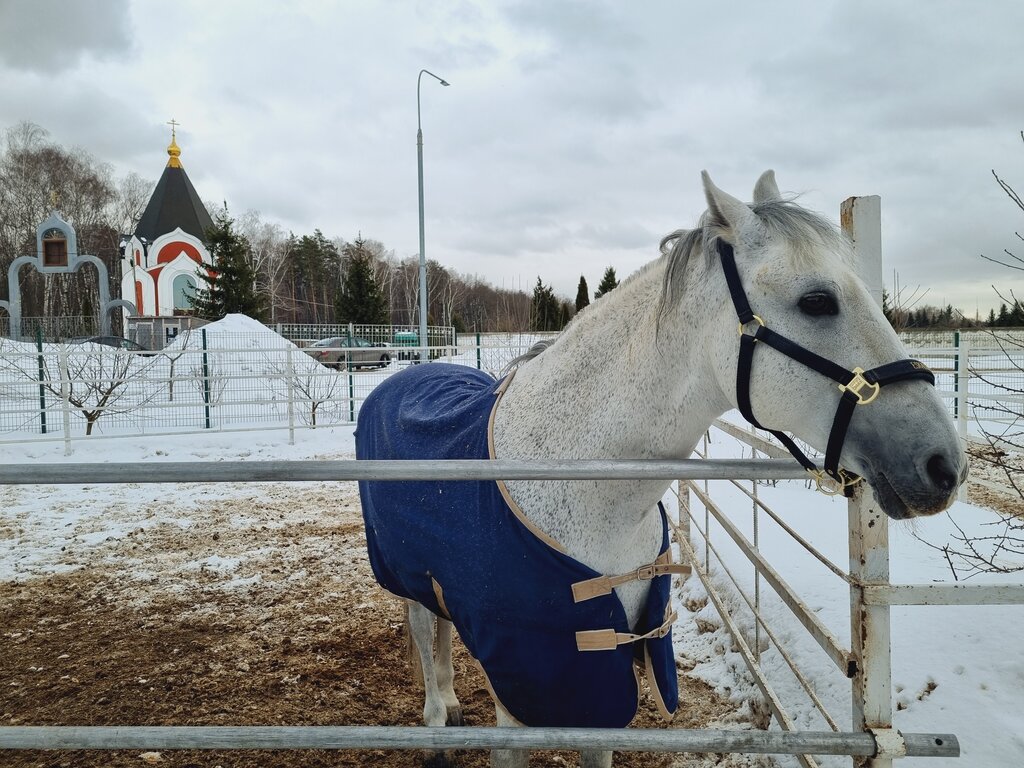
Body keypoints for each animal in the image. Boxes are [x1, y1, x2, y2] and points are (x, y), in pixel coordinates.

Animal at [356, 173, 962, 768]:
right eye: (817, 301)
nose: (945, 465)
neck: (582, 489)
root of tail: (408, 373)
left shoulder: (600, 677)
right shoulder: (516, 684)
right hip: (404, 575)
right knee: (425, 633)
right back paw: (438, 718)